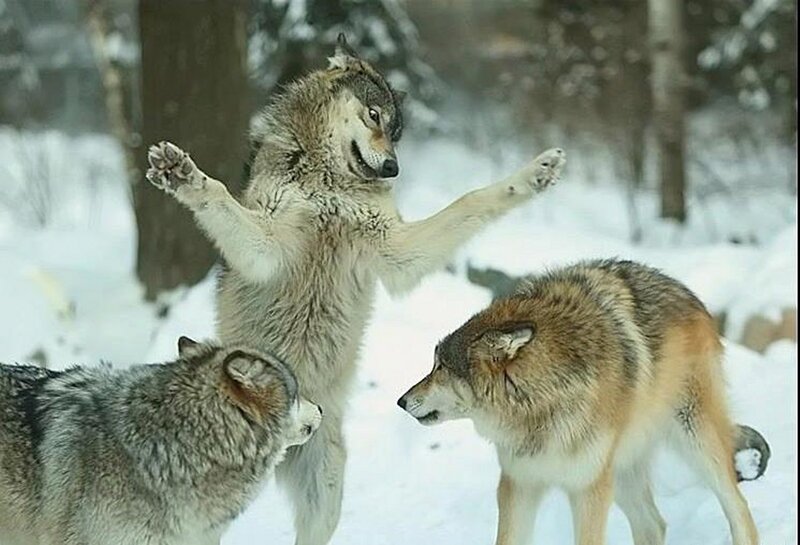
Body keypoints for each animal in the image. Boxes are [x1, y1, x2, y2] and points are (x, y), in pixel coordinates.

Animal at [144, 33, 566, 545]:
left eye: (396, 132)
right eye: (374, 115)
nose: (393, 169)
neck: (331, 185)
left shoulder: (397, 253)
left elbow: (471, 200)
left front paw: (535, 175)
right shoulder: (266, 250)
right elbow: (220, 195)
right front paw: (183, 175)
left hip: (324, 492)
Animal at [398, 259, 764, 545]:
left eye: (439, 366)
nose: (401, 401)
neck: (542, 406)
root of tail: (688, 294)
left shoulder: (589, 490)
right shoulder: (519, 485)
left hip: (696, 442)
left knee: (740, 509)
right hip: (624, 473)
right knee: (654, 524)